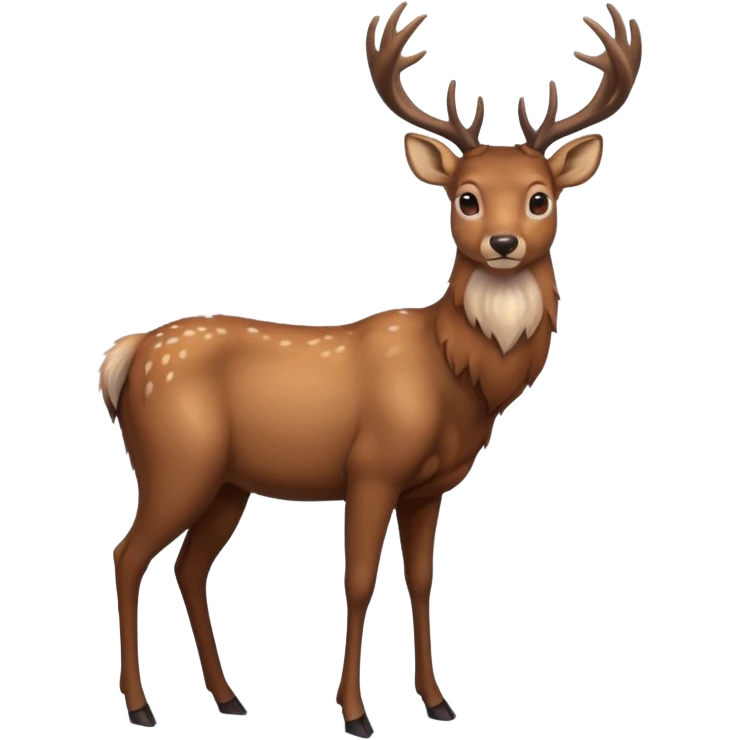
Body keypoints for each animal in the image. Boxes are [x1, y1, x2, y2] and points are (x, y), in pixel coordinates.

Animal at [98, 1, 642, 735]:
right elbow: (358, 582)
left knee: (189, 565)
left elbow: (421, 580)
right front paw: (355, 713)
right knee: (128, 555)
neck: (455, 377)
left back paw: (230, 697)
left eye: (539, 198)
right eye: (466, 198)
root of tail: (125, 357)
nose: (503, 243)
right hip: (175, 460)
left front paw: (438, 702)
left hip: (227, 482)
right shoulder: (373, 465)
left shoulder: (428, 486)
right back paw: (139, 705)